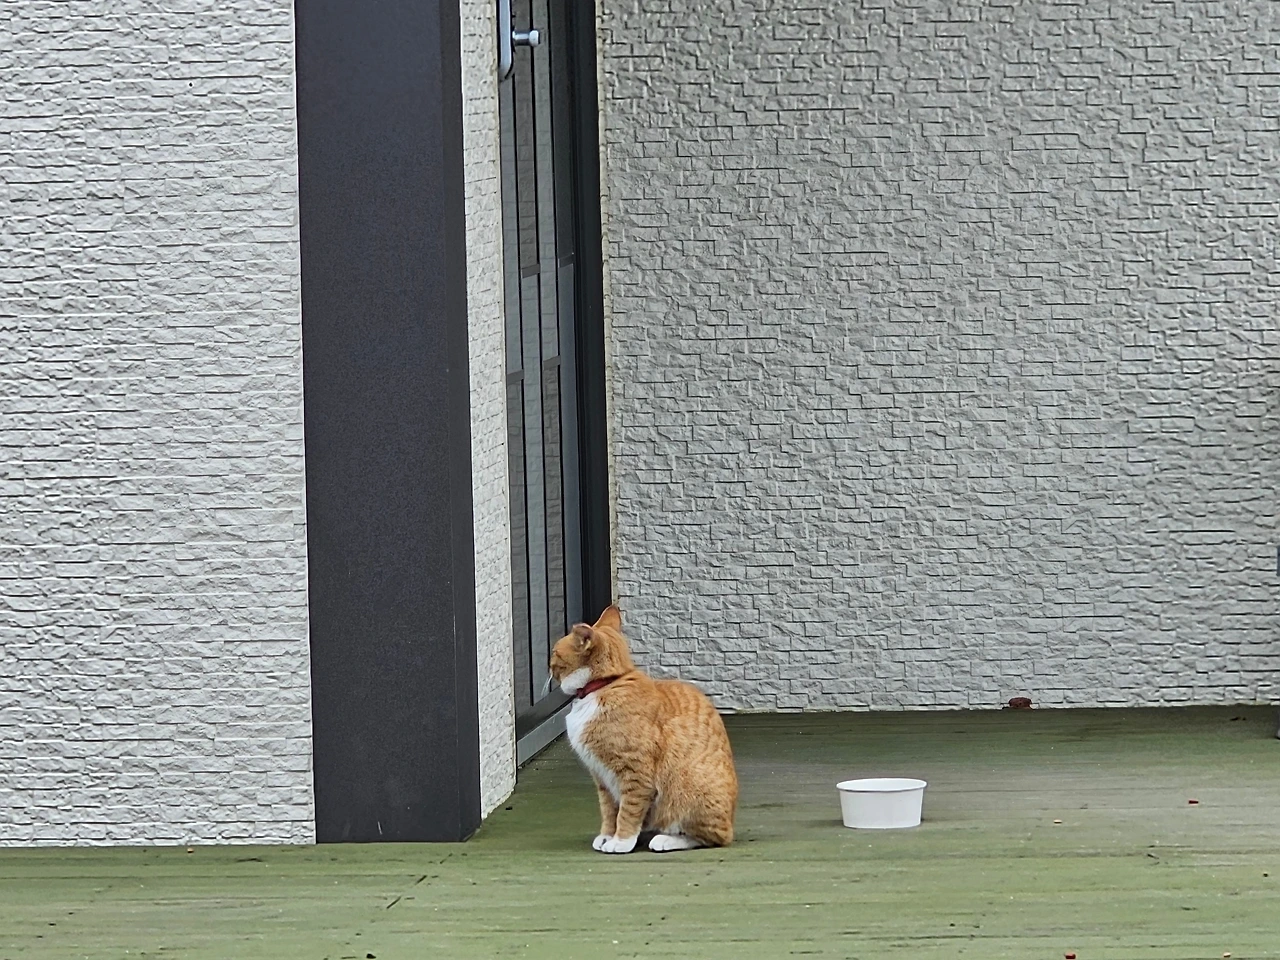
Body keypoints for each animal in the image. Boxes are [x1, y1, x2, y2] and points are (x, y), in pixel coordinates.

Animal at [549, 604, 738, 854]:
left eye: (554, 653)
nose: (547, 667)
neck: (603, 686)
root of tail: (731, 821)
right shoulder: (602, 778)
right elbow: (609, 812)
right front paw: (606, 836)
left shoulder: (635, 773)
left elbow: (628, 812)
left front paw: (621, 841)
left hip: (688, 789)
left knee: (711, 836)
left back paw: (667, 839)